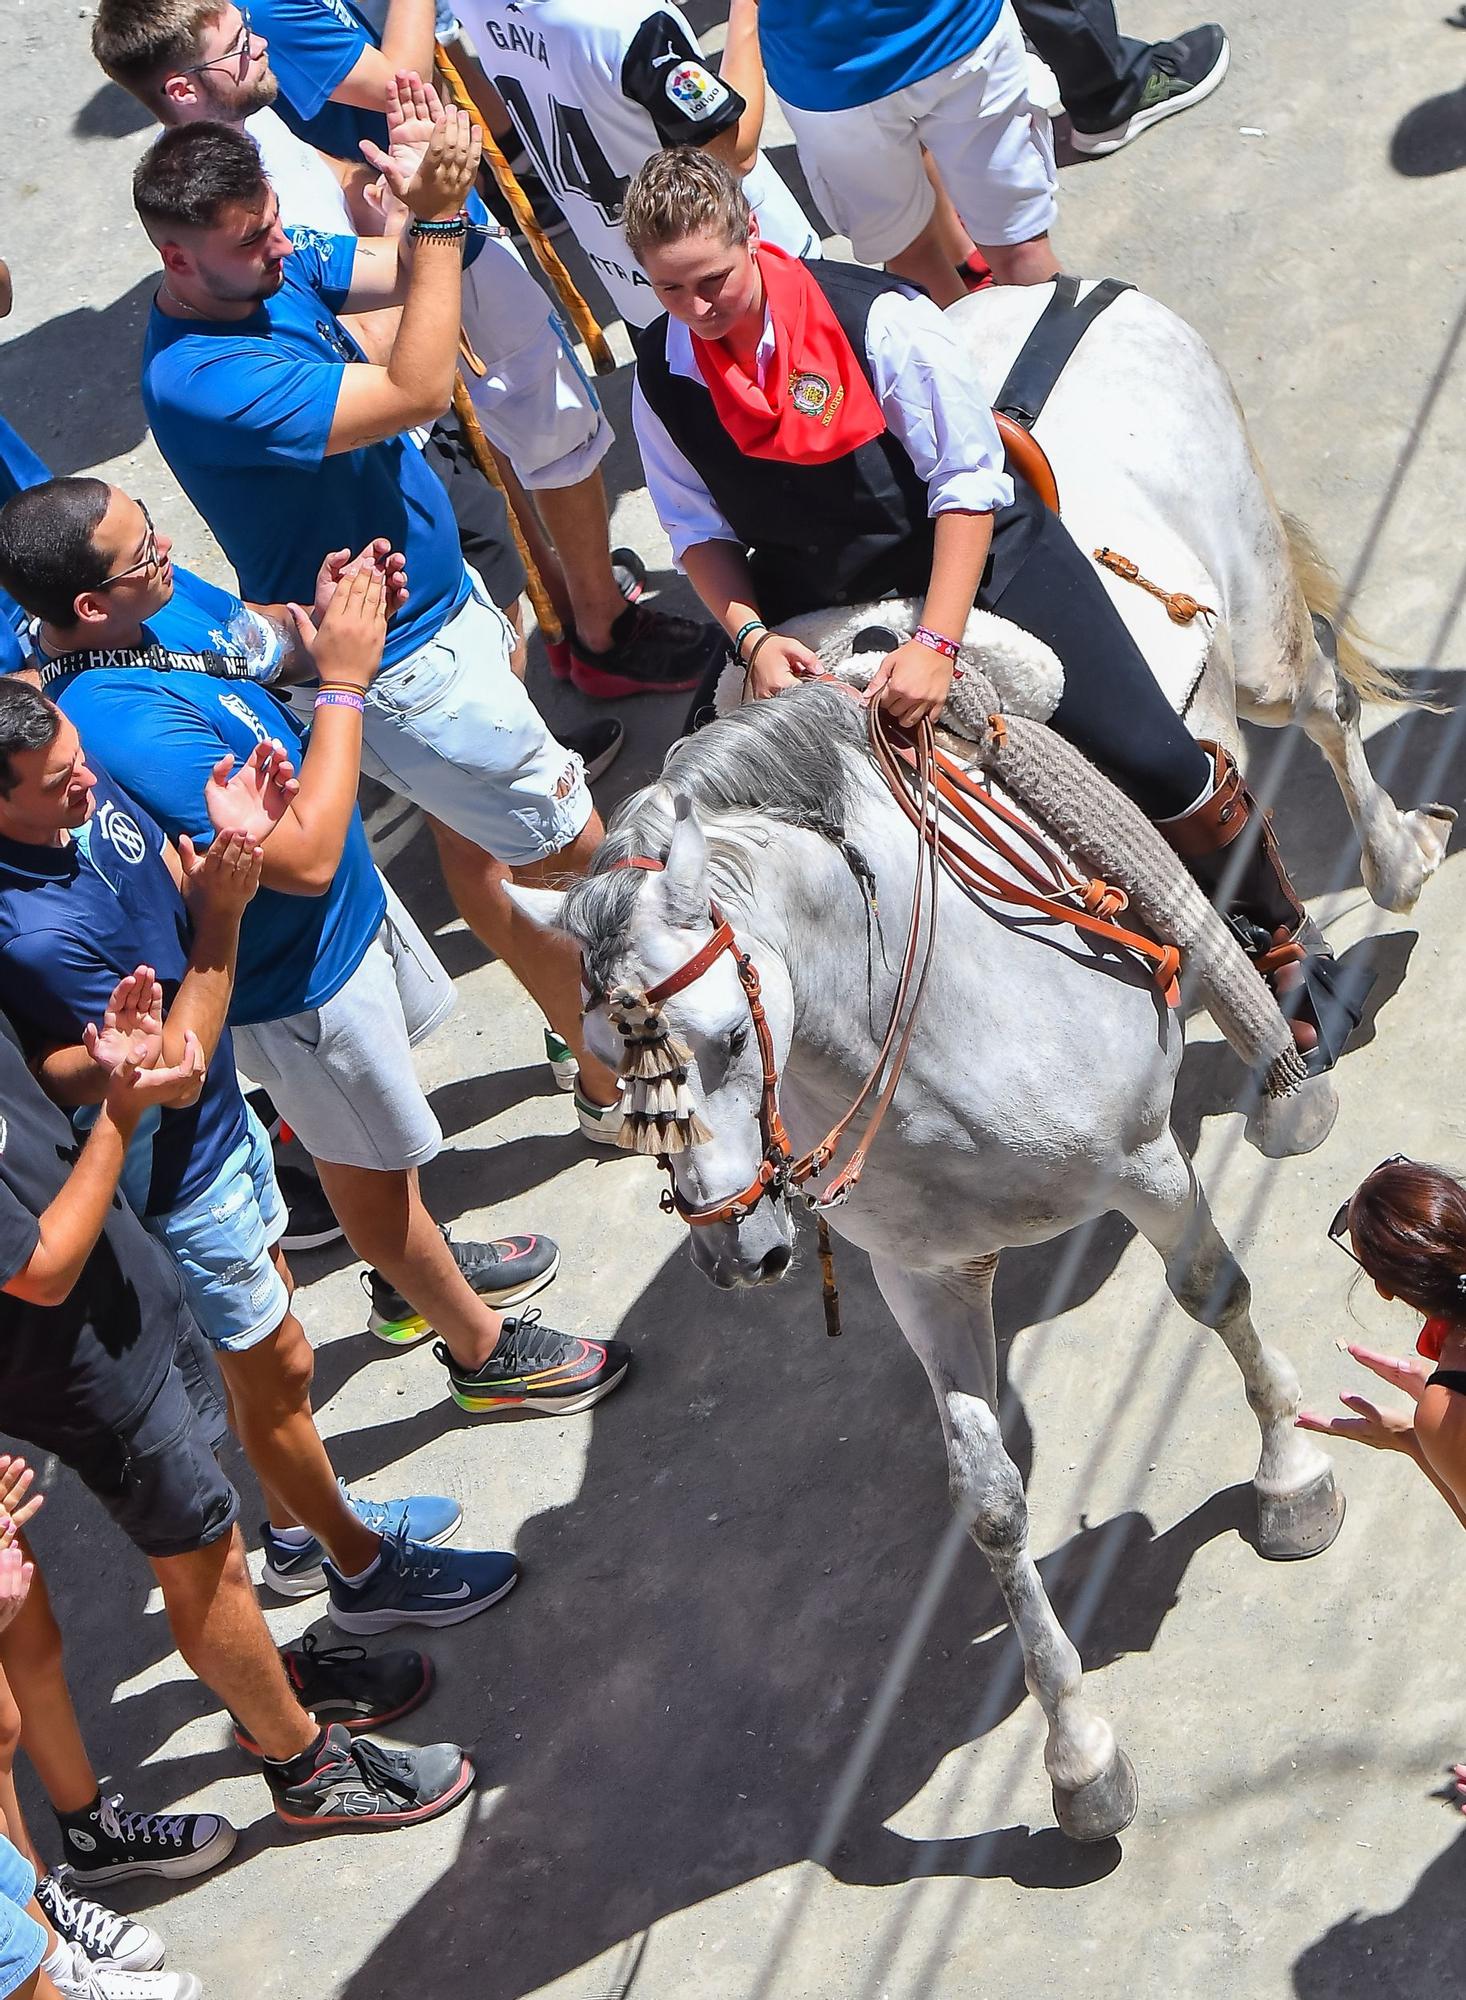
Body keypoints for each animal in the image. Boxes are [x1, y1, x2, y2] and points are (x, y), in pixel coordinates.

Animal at [508, 688, 1344, 1840]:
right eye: (602, 1059)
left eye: (729, 1038)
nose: (738, 1252)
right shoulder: (923, 1277)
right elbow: (988, 1499)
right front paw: (1079, 1755)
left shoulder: (1146, 1167)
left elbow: (1211, 1293)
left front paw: (1290, 1474)